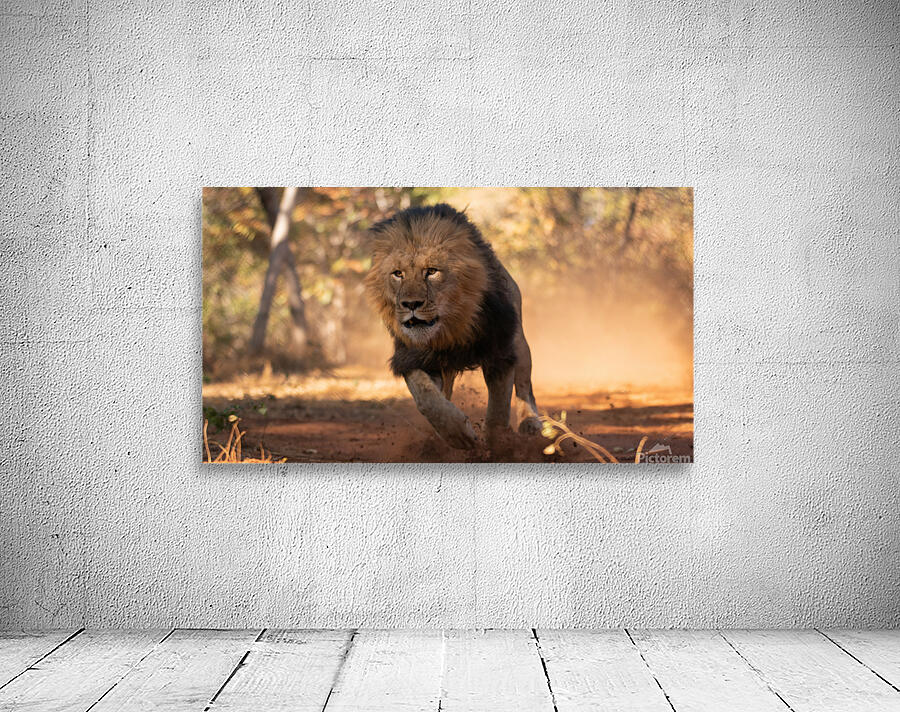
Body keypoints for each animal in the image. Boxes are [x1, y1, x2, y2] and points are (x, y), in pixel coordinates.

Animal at [364, 203, 541, 449]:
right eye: (398, 274)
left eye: (431, 271)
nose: (411, 304)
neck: (449, 331)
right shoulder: (412, 356)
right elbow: (428, 399)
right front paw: (457, 434)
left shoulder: (499, 346)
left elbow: (498, 408)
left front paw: (498, 445)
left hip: (519, 340)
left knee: (525, 385)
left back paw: (530, 423)